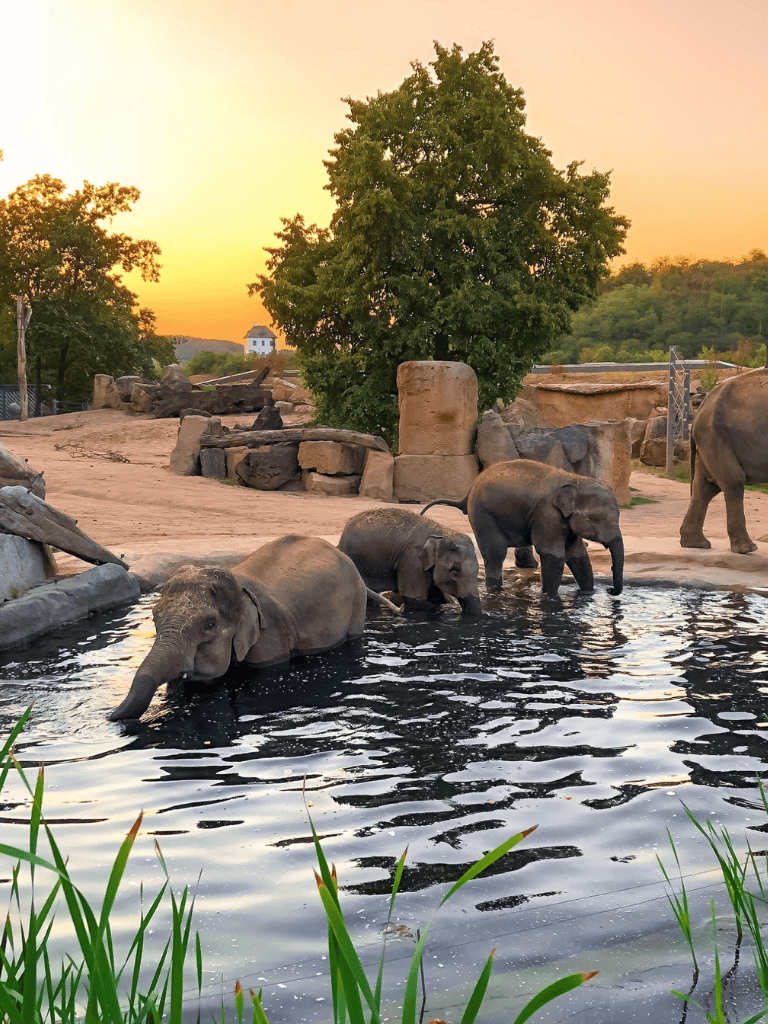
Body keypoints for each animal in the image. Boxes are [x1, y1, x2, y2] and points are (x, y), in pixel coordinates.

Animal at [110, 535, 385, 721]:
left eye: (210, 625)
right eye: (154, 618)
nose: (109, 715)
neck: (240, 586)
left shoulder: (270, 639)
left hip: (356, 603)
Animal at [338, 507, 482, 615]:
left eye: (477, 571)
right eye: (454, 571)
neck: (442, 533)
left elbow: (439, 596)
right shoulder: (412, 562)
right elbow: (414, 599)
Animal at [421, 460, 624, 597]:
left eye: (619, 514)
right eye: (596, 519)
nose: (610, 590)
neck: (576, 479)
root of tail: (469, 490)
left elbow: (577, 554)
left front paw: (588, 594)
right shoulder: (547, 514)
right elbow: (553, 554)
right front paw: (549, 597)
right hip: (483, 515)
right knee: (495, 554)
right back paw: (495, 592)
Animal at [680, 367, 768, 554]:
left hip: (710, 441)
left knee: (705, 488)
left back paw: (696, 544)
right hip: (716, 438)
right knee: (733, 481)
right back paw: (746, 549)